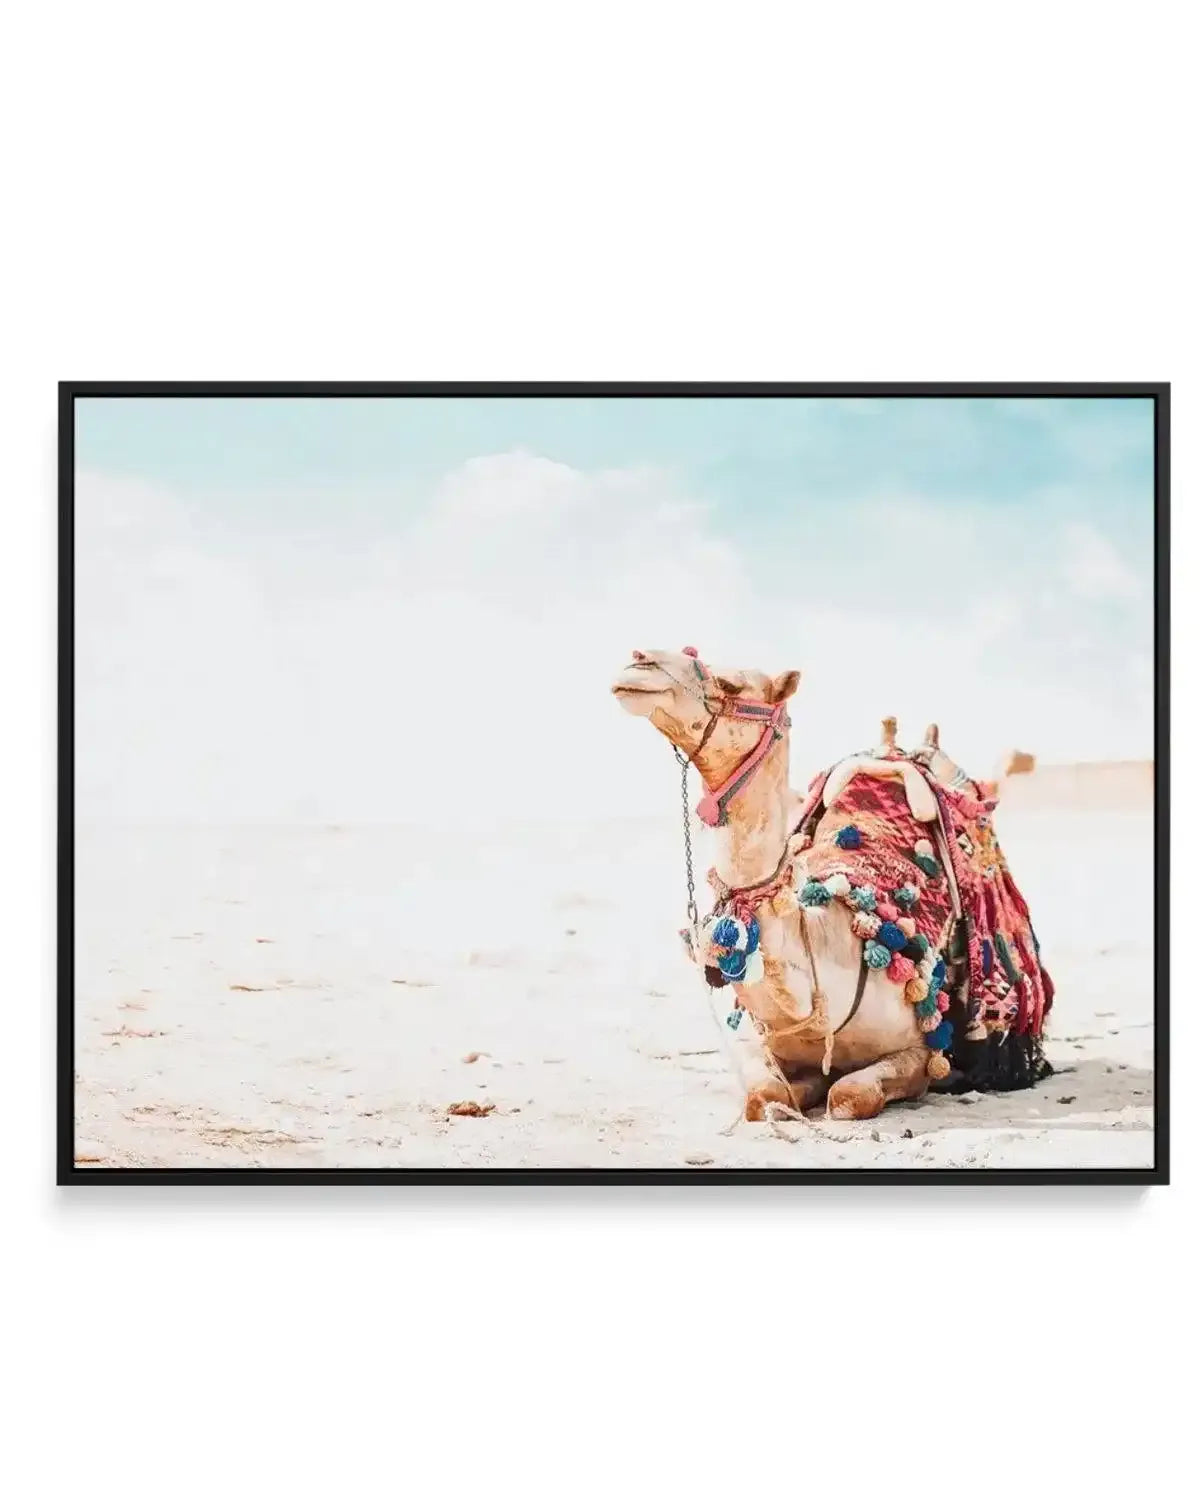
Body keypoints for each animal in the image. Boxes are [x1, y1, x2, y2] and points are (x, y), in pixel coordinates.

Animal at [612, 647, 1053, 1121]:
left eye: (731, 683)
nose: (639, 661)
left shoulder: (917, 1053)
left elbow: (847, 1095)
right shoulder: (762, 1043)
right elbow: (764, 1096)